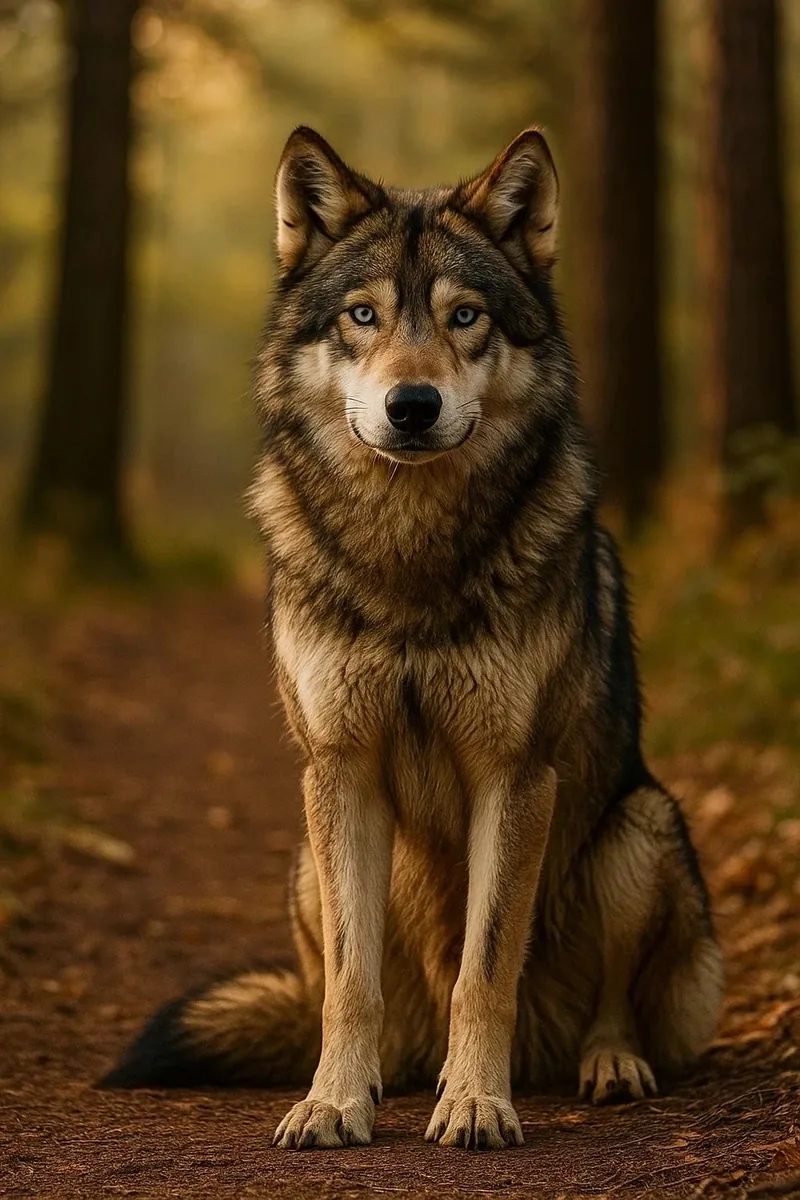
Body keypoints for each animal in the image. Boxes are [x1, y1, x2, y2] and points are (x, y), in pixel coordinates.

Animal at [101, 127, 723, 1151]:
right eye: (364, 316)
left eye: (465, 316)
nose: (414, 405)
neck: (408, 556)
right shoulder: (341, 768)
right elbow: (350, 985)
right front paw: (331, 1103)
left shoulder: (514, 773)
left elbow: (485, 968)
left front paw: (475, 1102)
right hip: (304, 862)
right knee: (349, 997)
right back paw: (384, 1077)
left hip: (641, 826)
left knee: (610, 1007)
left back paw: (602, 1065)